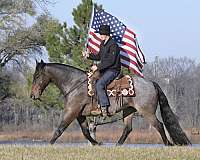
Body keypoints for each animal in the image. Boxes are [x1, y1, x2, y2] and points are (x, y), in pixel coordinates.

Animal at [29, 59, 191, 145]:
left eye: (37, 76)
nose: (32, 95)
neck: (74, 84)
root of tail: (151, 83)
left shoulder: (71, 111)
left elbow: (60, 129)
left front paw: (49, 145)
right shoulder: (80, 114)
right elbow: (85, 131)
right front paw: (97, 143)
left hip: (147, 112)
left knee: (159, 125)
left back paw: (168, 144)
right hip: (129, 111)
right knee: (128, 129)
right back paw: (117, 145)